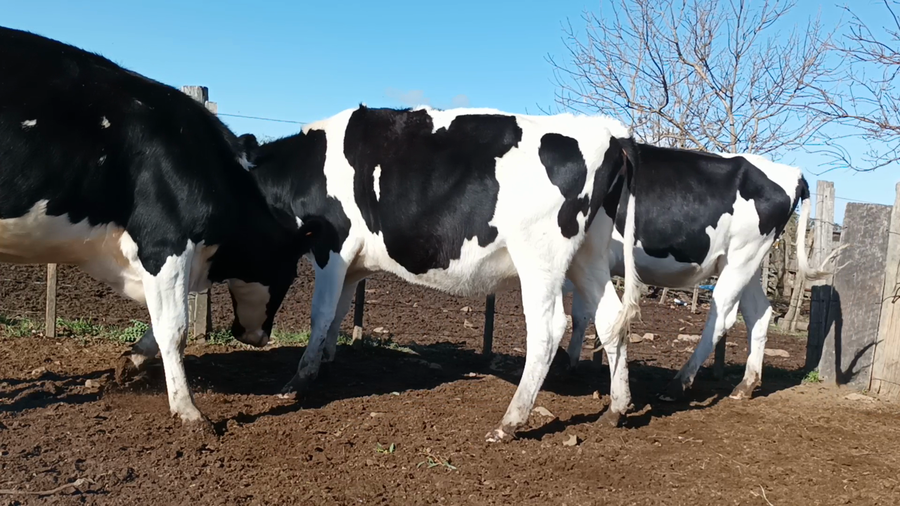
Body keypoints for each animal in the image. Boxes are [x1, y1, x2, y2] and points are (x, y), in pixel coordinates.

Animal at [0, 27, 317, 427]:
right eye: (291, 273)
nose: (261, 337)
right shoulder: (166, 242)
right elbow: (175, 328)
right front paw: (189, 411)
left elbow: (159, 321)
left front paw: (130, 361)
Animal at [246, 105, 639, 442]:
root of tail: (609, 133)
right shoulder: (352, 264)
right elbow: (338, 312)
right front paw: (325, 362)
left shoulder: (333, 246)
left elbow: (321, 313)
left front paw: (298, 380)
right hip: (589, 256)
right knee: (610, 318)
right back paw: (616, 409)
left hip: (538, 257)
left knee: (548, 329)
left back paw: (510, 421)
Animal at [562, 143, 842, 404]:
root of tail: (793, 173)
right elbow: (580, 315)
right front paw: (570, 364)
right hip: (743, 262)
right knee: (758, 313)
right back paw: (745, 385)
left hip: (742, 257)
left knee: (722, 318)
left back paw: (678, 384)